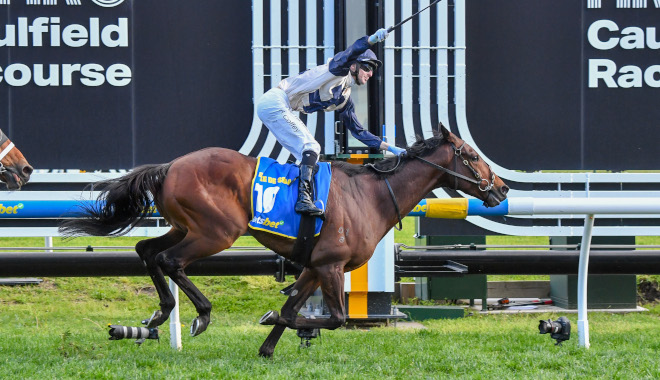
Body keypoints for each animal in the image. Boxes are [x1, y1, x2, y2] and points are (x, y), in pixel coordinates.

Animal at [59, 124, 508, 356]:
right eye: (471, 155)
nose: (501, 189)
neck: (372, 196)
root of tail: (170, 166)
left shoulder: (315, 266)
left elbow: (293, 306)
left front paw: (268, 347)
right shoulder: (330, 266)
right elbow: (331, 317)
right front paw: (277, 320)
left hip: (185, 226)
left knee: (146, 251)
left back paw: (158, 314)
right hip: (215, 231)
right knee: (171, 261)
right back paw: (200, 314)